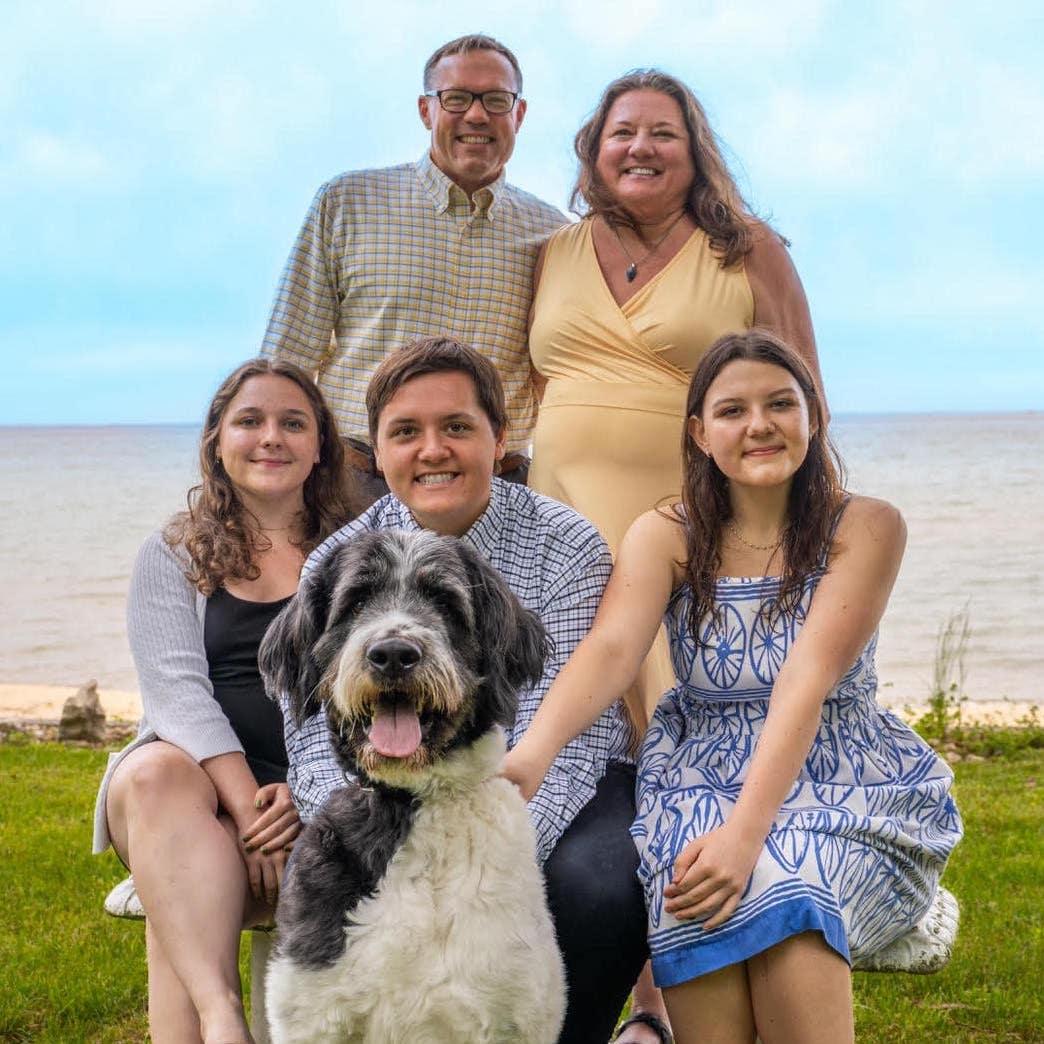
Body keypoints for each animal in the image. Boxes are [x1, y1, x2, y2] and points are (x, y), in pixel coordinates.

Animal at [261, 534, 572, 1039]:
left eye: (445, 603)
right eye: (357, 601)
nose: (393, 653)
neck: (415, 802)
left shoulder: (511, 1013)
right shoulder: (311, 1010)